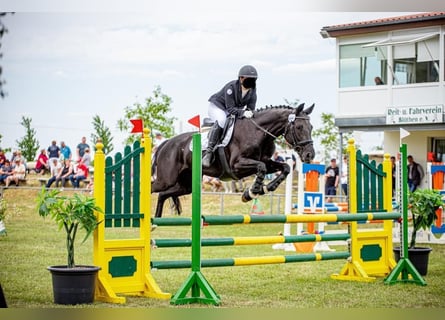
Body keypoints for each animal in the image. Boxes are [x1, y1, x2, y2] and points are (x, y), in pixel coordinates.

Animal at [153, 103, 316, 218]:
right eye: (299, 127)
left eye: (311, 127)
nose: (310, 155)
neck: (258, 132)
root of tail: (166, 143)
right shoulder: (237, 166)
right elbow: (261, 167)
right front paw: (251, 193)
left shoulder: (267, 161)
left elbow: (284, 168)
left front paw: (265, 188)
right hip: (165, 180)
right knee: (153, 188)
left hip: (186, 184)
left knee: (162, 195)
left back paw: (156, 222)